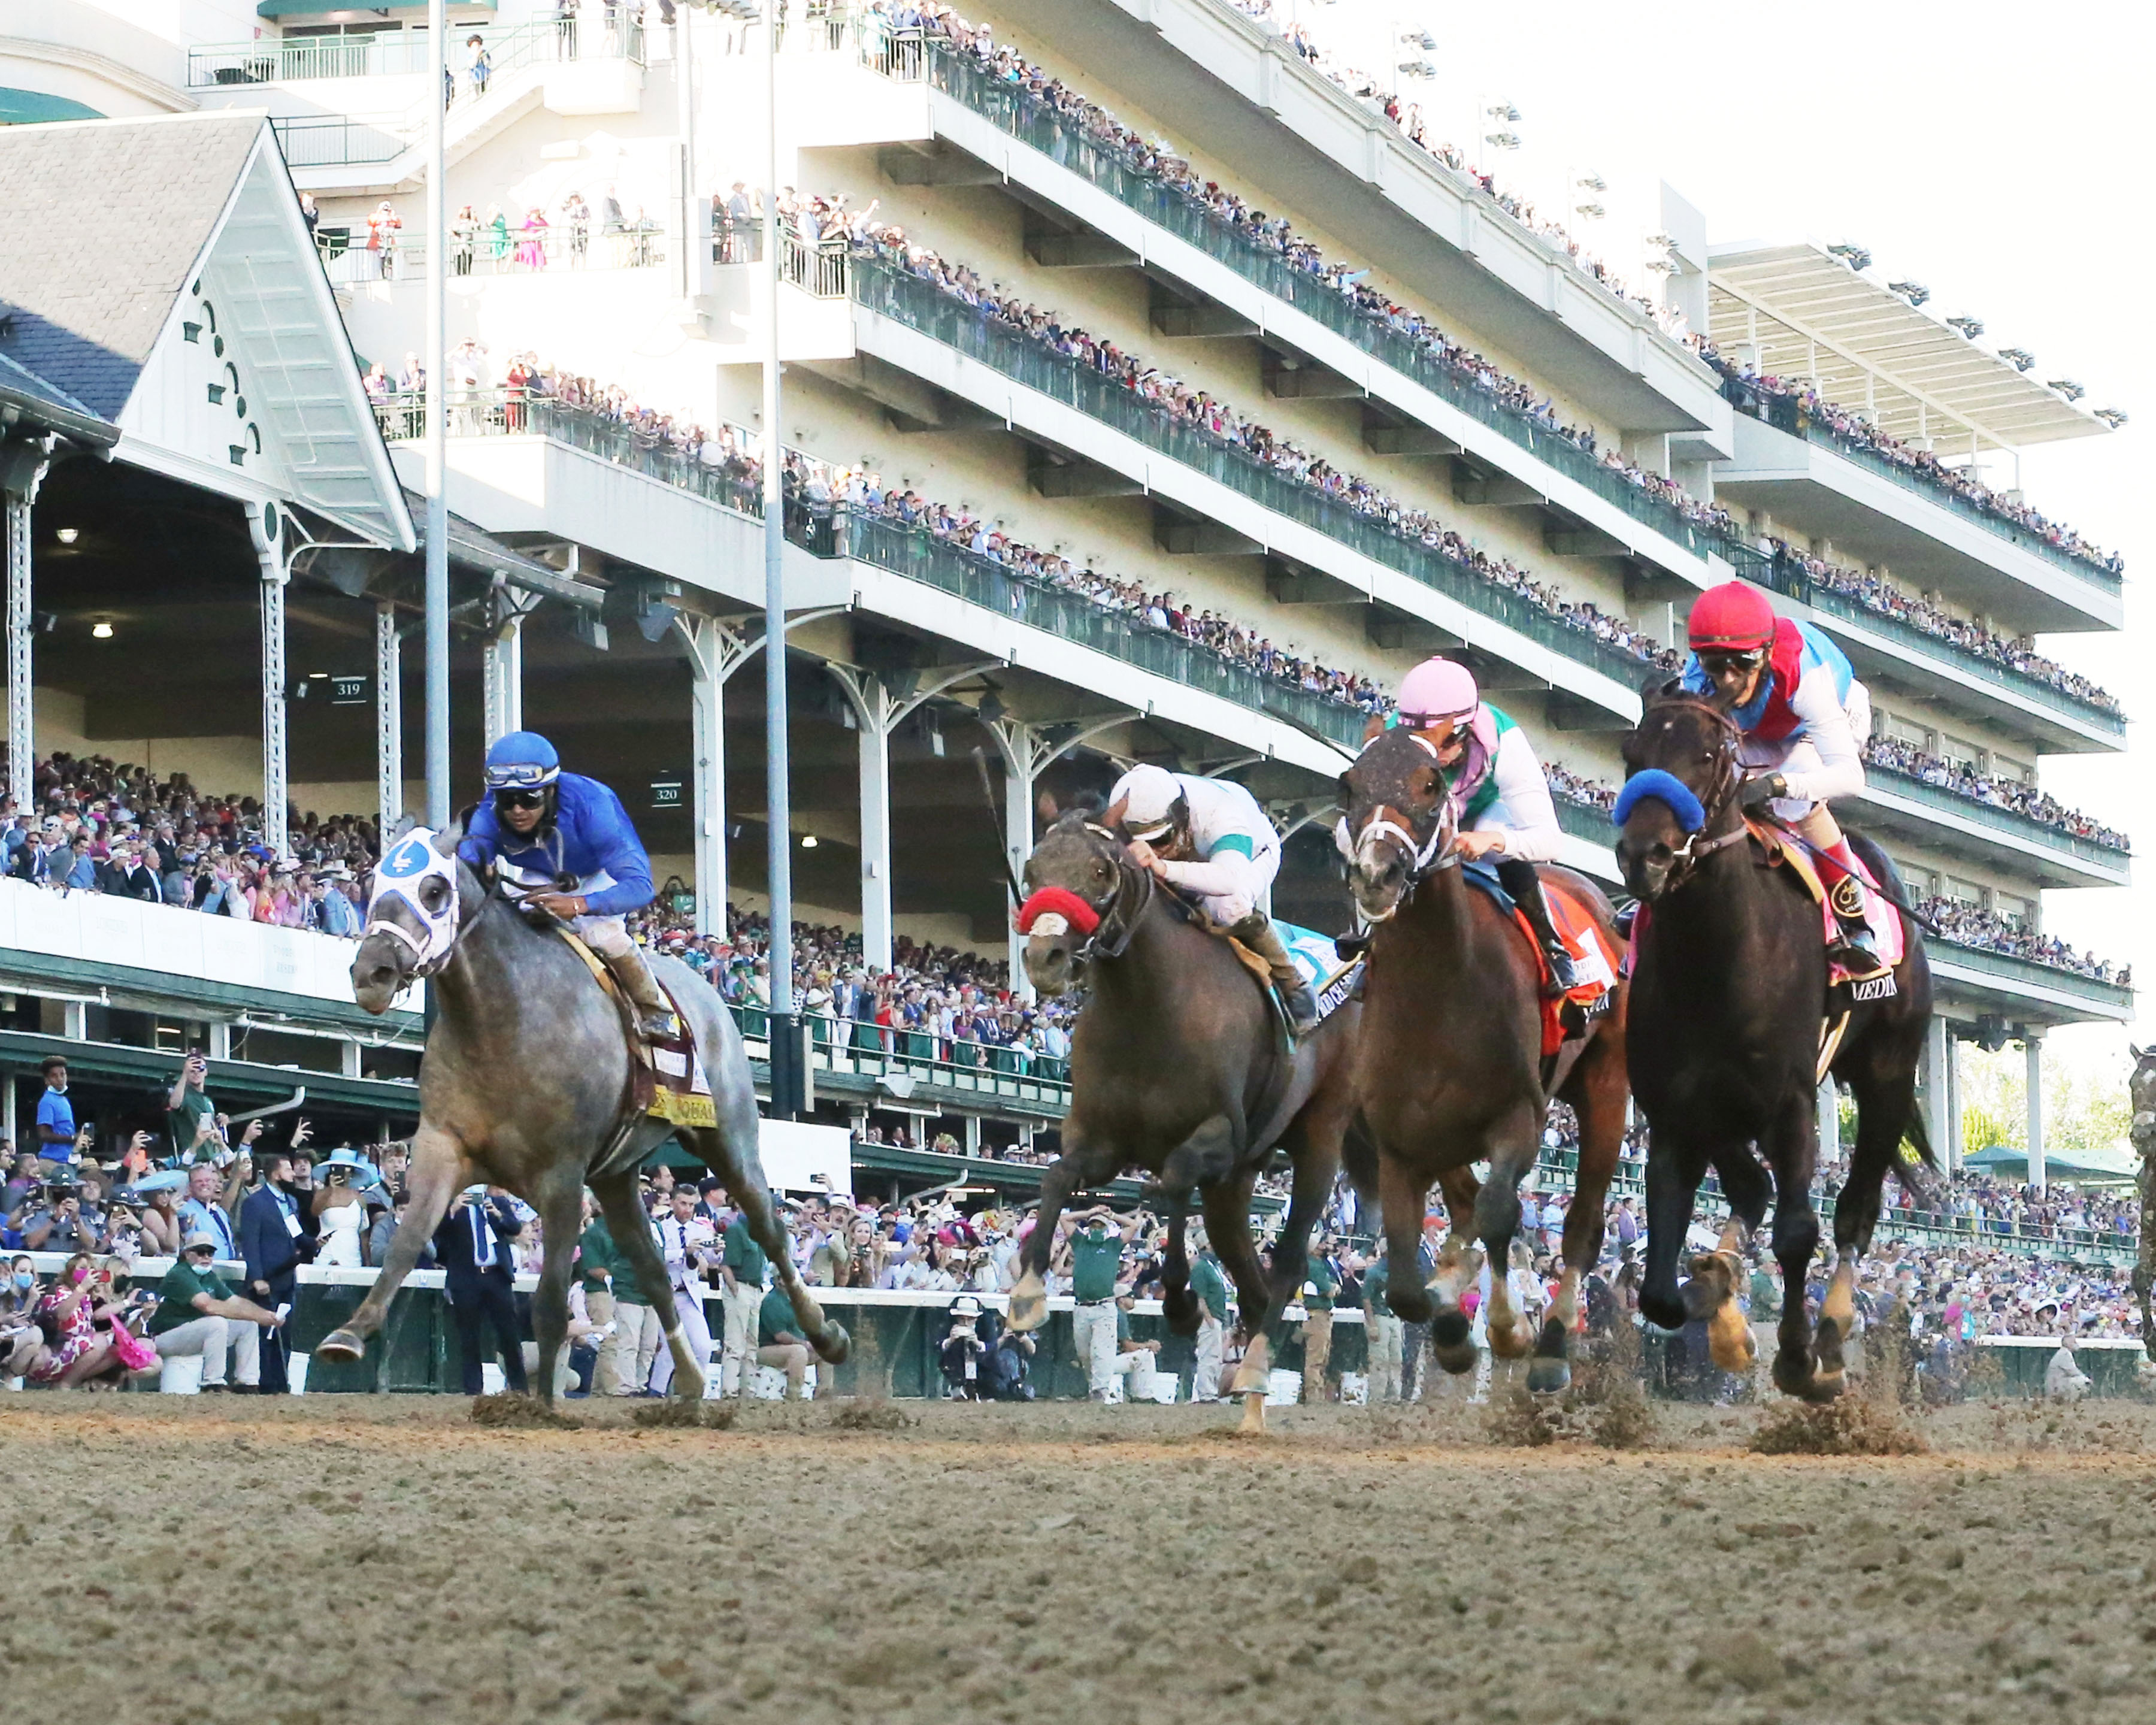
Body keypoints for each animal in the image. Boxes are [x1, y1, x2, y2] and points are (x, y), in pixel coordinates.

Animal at [314, 824, 849, 1397]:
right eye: (372, 883)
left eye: (434, 890)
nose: (371, 972)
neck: (501, 1024)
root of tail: (709, 992)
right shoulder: (444, 1145)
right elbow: (406, 1244)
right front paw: (348, 1334)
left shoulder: (562, 1175)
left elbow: (550, 1301)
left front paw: (543, 1399)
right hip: (616, 1174)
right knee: (653, 1267)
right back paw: (688, 1379)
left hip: (728, 1138)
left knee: (770, 1230)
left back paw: (828, 1336)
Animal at [1013, 806, 1353, 1432]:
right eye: (1031, 871)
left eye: (1100, 871)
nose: (1044, 960)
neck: (1150, 1008)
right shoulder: (1100, 1140)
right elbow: (1057, 1177)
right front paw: (1026, 1294)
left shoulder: (1219, 1137)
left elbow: (1172, 1181)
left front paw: (1178, 1303)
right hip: (1236, 1185)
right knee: (1249, 1274)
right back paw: (1253, 1395)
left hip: (1320, 1137)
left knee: (1290, 1261)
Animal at [1337, 720, 1621, 1397]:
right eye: (1349, 784)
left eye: (1431, 786)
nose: (1377, 875)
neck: (1439, 992)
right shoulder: (1401, 1141)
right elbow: (1404, 1283)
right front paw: (1450, 1329)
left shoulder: (1520, 1115)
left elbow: (1499, 1212)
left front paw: (1508, 1331)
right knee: (1463, 1206)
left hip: (1606, 1084)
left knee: (1582, 1223)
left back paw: (1550, 1348)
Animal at [1612, 685, 1931, 1397]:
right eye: (1632, 751)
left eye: (1707, 755)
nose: (1645, 855)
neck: (1719, 959)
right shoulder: (1676, 1112)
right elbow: (1659, 1292)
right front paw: (1724, 1314)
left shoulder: (1790, 1104)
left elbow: (1797, 1231)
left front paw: (1798, 1355)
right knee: (1753, 1188)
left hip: (1888, 1076)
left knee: (1855, 1211)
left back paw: (1833, 1332)